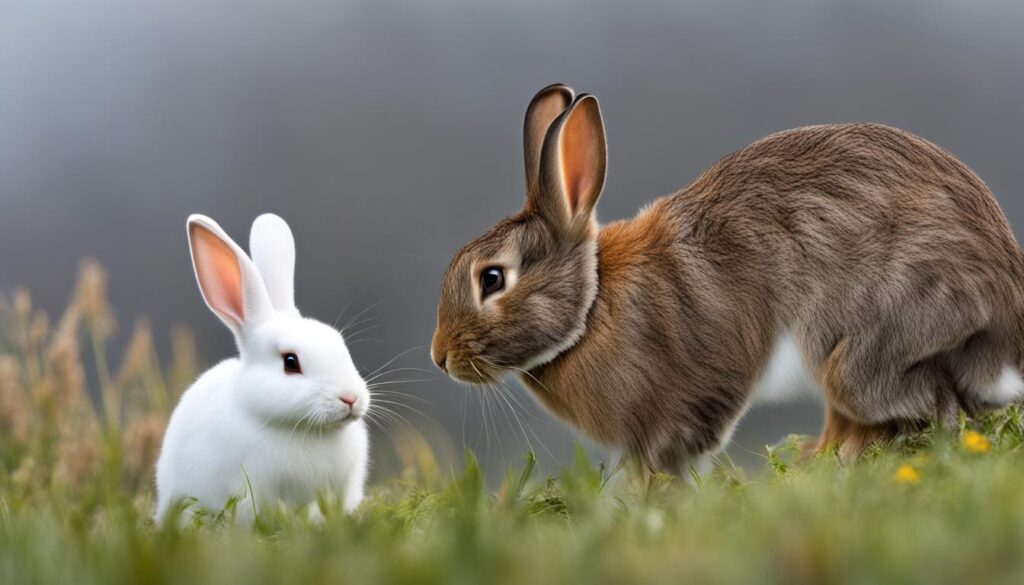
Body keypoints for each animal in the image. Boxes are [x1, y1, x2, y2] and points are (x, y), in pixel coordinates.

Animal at [430, 84, 1024, 473]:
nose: (440, 357)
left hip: (871, 347)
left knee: (932, 405)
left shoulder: (684, 403)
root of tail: (1006, 310)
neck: (593, 305)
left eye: (492, 279)